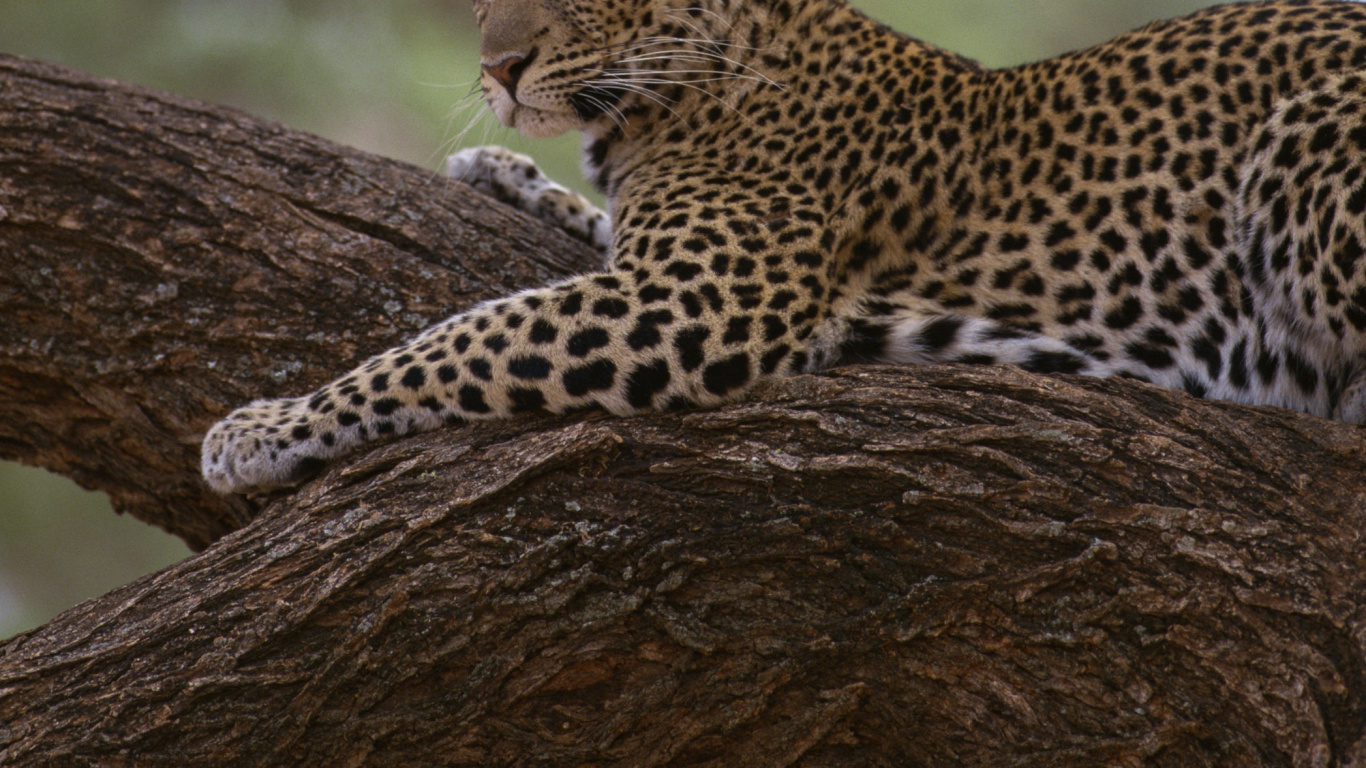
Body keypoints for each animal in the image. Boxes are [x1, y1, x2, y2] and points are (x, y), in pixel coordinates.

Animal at [203, 0, 1366, 494]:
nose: (496, 71)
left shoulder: (690, 300)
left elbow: (454, 341)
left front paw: (263, 428)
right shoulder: (660, 264)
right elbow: (577, 241)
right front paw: (504, 173)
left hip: (1304, 139)